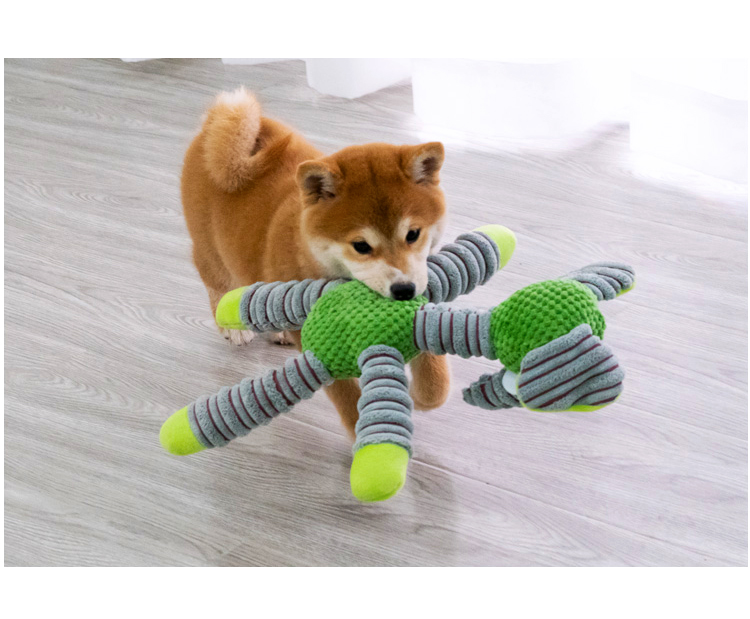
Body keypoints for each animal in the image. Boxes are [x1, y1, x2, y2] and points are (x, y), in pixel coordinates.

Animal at [181, 87, 451, 438]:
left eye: (413, 234)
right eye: (360, 246)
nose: (403, 290)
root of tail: (212, 128)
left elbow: (434, 374)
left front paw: (425, 393)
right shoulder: (315, 341)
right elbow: (347, 397)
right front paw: (362, 433)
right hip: (212, 255)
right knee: (217, 287)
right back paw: (232, 328)